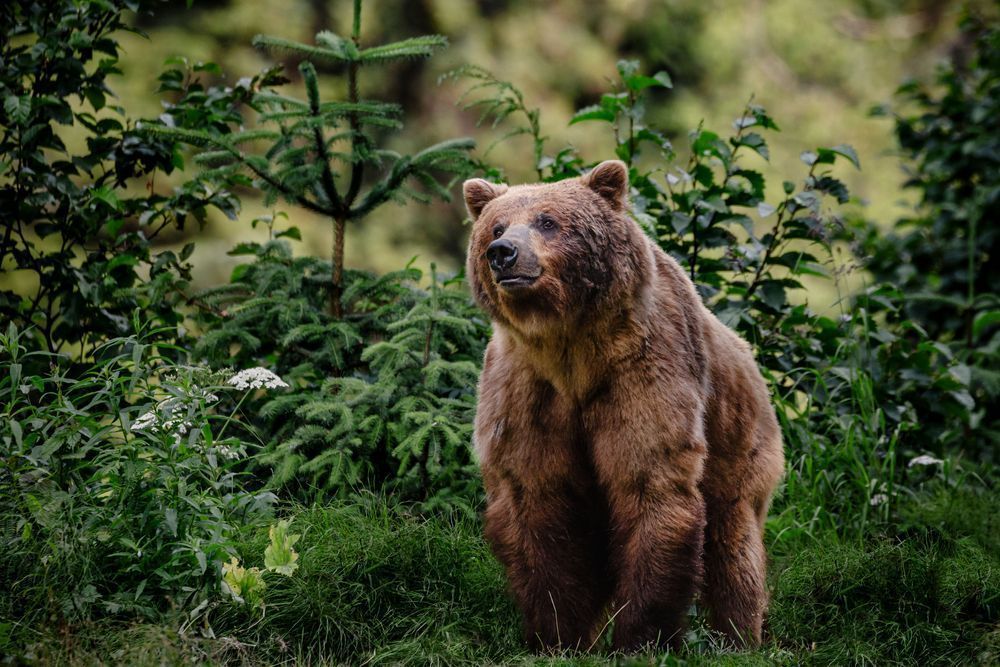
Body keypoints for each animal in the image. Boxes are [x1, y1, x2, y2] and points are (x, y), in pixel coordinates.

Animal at [463, 160, 785, 652]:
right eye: (496, 226)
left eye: (547, 221)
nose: (503, 253)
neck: (571, 347)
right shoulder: (526, 387)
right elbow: (535, 497)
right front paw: (557, 633)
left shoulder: (643, 370)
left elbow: (650, 481)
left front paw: (640, 636)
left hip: (741, 445)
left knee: (734, 545)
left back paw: (739, 635)